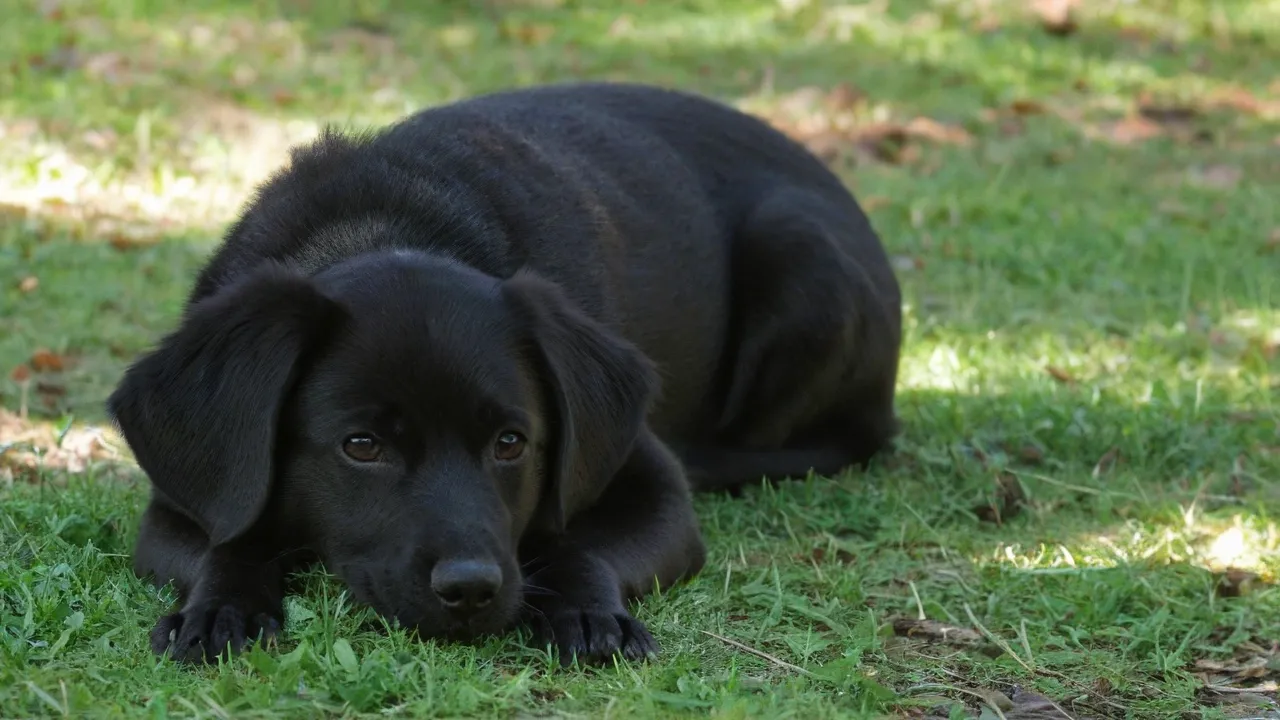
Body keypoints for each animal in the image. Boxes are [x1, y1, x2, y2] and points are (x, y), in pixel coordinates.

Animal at [107, 81, 901, 666]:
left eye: (511, 443)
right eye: (361, 446)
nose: (470, 590)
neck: (381, 229)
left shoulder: (654, 488)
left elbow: (582, 544)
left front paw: (585, 609)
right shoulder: (181, 502)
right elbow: (228, 543)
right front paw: (219, 610)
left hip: (803, 254)